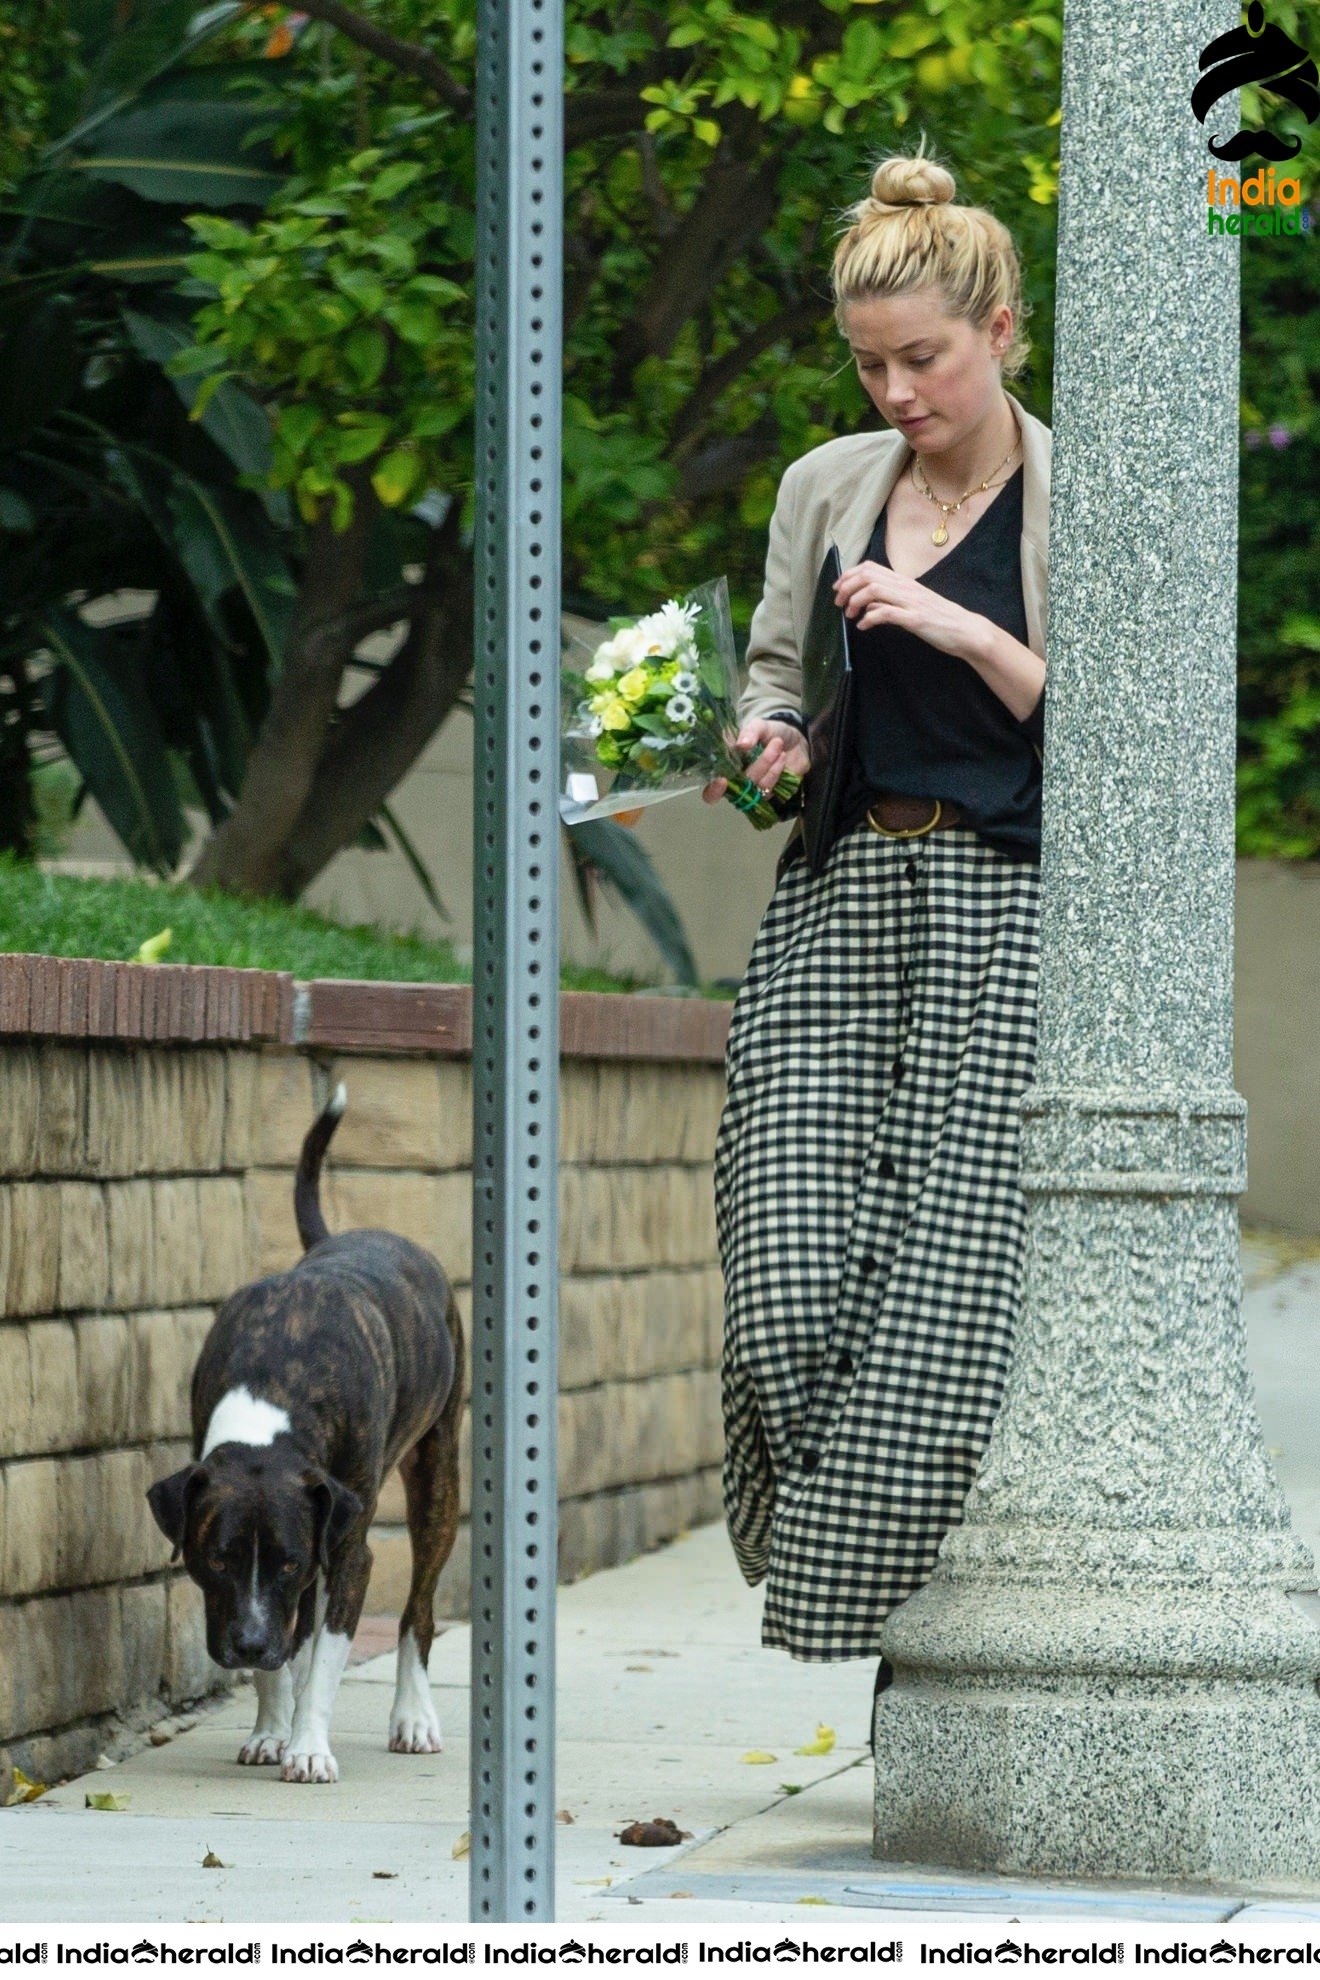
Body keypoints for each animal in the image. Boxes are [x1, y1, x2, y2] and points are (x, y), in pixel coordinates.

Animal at [145, 1092, 463, 1789]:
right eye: (217, 1560)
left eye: (288, 1560)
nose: (249, 1644)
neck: (274, 1403)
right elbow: (288, 1655)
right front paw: (271, 1730)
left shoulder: (342, 1551)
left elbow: (323, 1661)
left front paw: (309, 1747)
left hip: (437, 1476)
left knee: (418, 1610)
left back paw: (412, 1716)